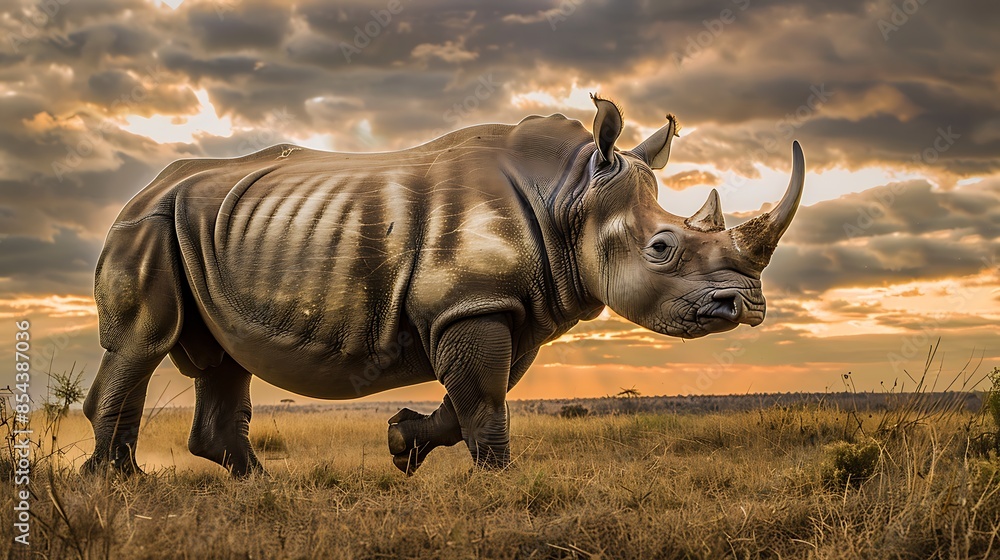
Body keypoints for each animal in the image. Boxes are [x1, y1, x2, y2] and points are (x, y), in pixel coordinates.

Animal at [83, 94, 805, 476]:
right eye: (662, 248)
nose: (746, 305)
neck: (571, 196)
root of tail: (142, 192)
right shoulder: (469, 303)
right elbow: (483, 397)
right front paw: (502, 486)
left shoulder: (507, 307)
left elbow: (474, 399)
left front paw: (402, 444)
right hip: (148, 223)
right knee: (145, 343)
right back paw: (121, 484)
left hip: (203, 229)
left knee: (222, 357)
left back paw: (260, 484)